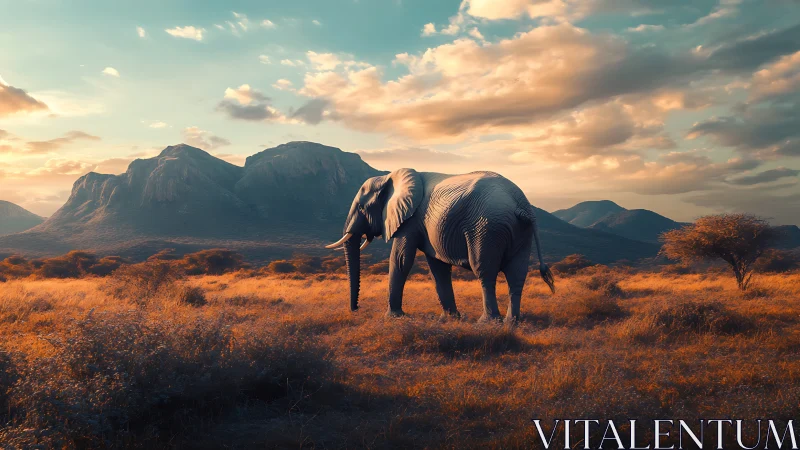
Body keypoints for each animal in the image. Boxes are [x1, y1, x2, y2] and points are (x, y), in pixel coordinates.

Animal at [325, 168, 555, 322]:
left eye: (362, 208)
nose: (356, 309)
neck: (390, 177)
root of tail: (520, 204)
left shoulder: (410, 219)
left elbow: (401, 259)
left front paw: (393, 318)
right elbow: (438, 267)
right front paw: (451, 319)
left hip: (487, 227)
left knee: (484, 271)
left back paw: (488, 323)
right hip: (520, 232)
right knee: (517, 274)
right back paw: (512, 323)